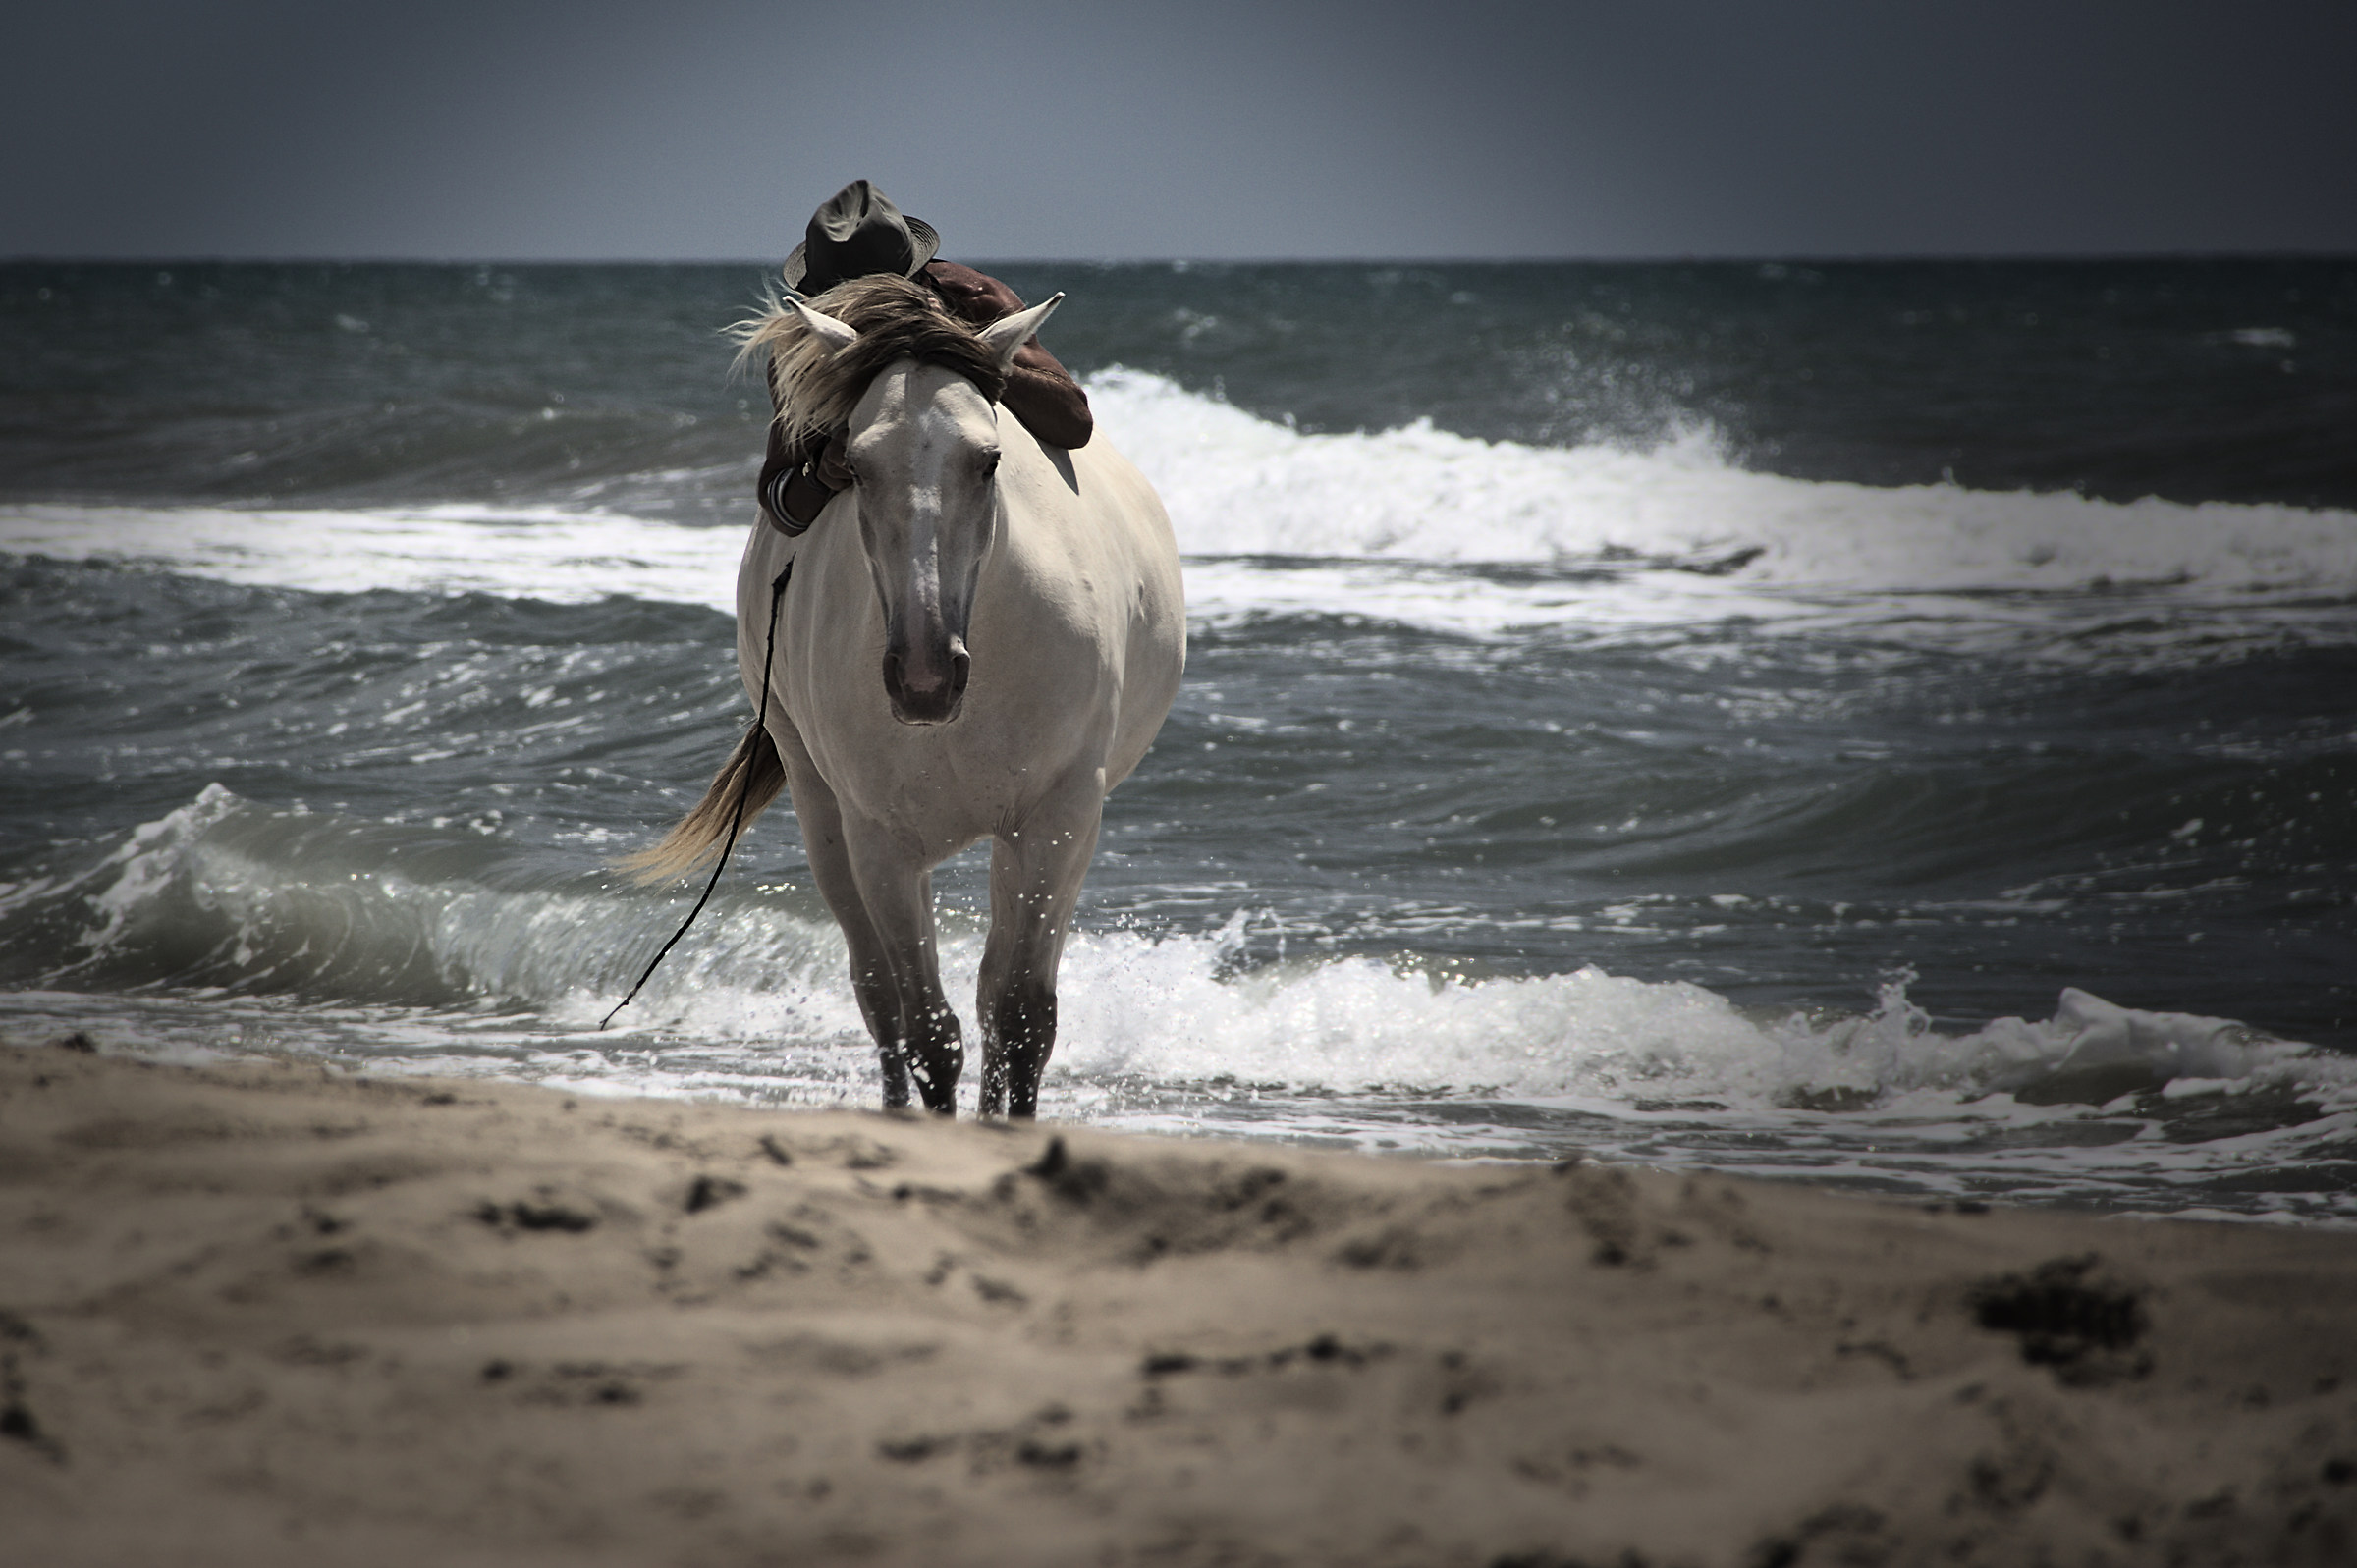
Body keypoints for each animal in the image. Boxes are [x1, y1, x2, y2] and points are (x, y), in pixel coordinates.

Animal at [627, 274, 1185, 1118]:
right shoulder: (882, 842)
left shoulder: (1059, 819)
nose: (924, 675)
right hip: (823, 811)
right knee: (878, 992)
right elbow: (927, 1028)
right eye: (853, 465)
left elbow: (1020, 1018)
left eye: (989, 460)